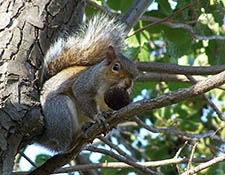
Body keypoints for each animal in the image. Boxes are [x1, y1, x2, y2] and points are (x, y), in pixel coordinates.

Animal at [37, 14, 138, 152]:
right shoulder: (84, 84)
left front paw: (105, 114)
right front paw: (98, 117)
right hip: (59, 112)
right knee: (64, 145)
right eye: (115, 67)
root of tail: (43, 139)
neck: (107, 86)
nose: (128, 83)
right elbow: (82, 97)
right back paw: (77, 136)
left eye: (135, 77)